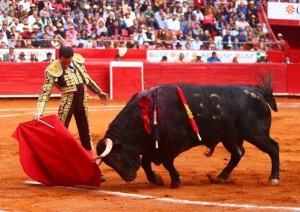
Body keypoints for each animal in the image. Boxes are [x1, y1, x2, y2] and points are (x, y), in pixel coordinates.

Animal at [97, 74, 280, 187]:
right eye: (108, 162)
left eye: (115, 156)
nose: (129, 177)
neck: (147, 112)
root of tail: (257, 91)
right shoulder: (151, 144)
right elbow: (145, 163)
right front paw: (156, 179)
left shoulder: (173, 142)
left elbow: (166, 161)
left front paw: (176, 180)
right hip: (229, 137)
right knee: (238, 153)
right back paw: (221, 177)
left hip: (256, 133)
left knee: (273, 148)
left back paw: (274, 178)